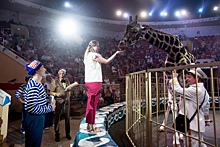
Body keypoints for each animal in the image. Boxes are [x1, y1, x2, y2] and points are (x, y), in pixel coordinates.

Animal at [118, 15, 196, 146]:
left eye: (134, 31)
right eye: (125, 29)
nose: (121, 45)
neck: (172, 50)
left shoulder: (181, 77)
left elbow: (180, 104)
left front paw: (178, 137)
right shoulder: (169, 78)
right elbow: (172, 104)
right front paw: (174, 137)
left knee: (182, 101)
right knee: (174, 102)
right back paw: (165, 127)